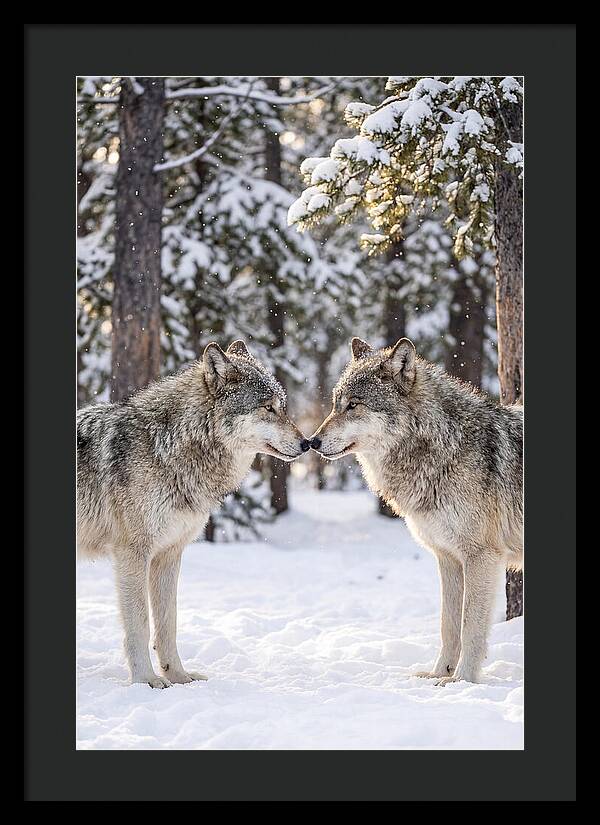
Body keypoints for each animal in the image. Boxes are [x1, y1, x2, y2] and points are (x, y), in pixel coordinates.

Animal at [77, 340, 309, 688]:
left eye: (282, 407)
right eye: (268, 408)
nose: (308, 443)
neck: (167, 448)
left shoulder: (169, 554)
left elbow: (168, 622)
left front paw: (179, 676)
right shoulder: (132, 553)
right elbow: (140, 623)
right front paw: (146, 680)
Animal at [310, 337, 523, 684]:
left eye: (354, 405)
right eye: (335, 404)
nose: (312, 442)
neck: (444, 447)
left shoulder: (482, 557)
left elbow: (470, 627)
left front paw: (461, 680)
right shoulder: (448, 558)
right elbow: (448, 625)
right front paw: (439, 673)